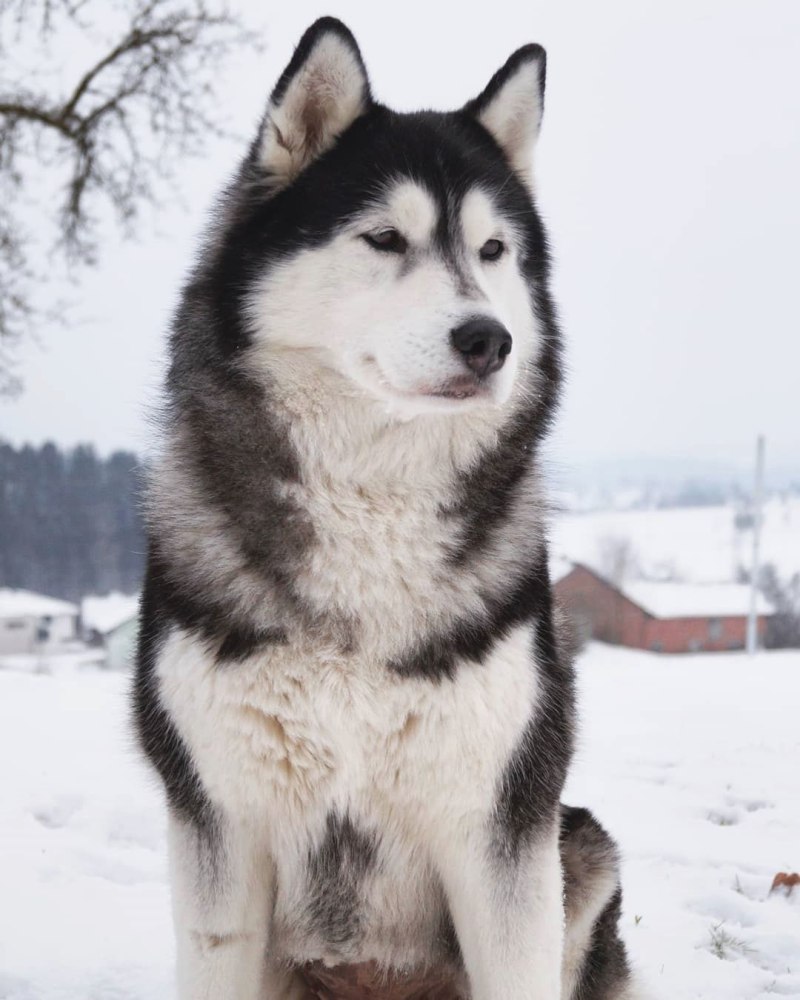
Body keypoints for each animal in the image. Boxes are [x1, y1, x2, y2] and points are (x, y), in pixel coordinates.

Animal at [134, 15, 640, 1000]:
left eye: (493, 252)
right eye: (383, 238)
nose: (490, 340)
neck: (370, 506)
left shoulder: (500, 828)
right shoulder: (218, 830)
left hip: (583, 843)